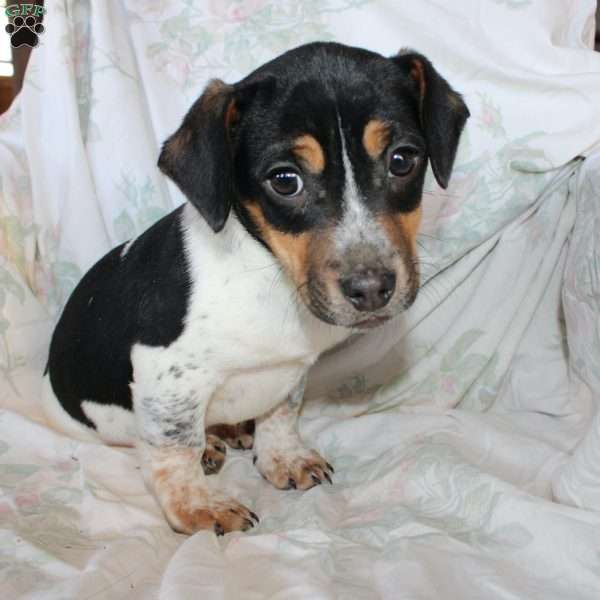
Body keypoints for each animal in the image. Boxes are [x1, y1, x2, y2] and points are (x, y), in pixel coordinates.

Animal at [42, 41, 468, 536]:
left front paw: (282, 457)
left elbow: (281, 414)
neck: (269, 274)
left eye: (402, 160)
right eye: (285, 180)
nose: (372, 289)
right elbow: (175, 449)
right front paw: (197, 508)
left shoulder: (291, 370)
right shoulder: (165, 373)